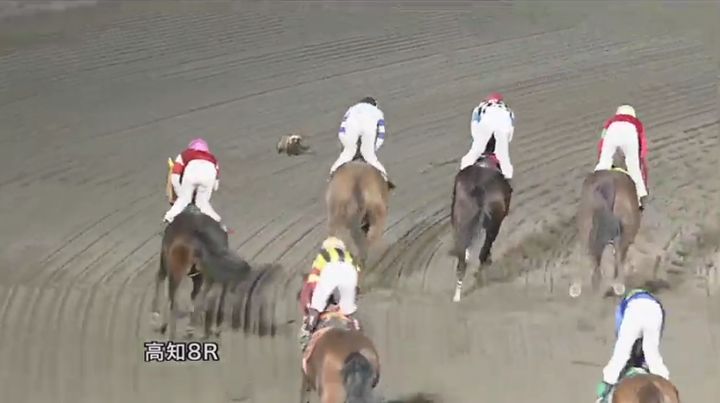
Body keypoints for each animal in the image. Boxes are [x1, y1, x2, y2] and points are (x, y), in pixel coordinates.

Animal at [150, 211, 252, 340]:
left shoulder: (165, 264)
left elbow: (160, 279)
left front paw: (157, 318)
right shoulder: (200, 276)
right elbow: (195, 295)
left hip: (177, 271)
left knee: (174, 301)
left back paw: (171, 332)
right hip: (208, 275)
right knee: (205, 296)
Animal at [450, 154, 512, 304]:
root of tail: (478, 188)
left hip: (460, 222)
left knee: (461, 263)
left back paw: (457, 296)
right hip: (493, 224)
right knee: (482, 253)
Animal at [572, 169, 644, 298]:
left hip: (585, 228)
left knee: (586, 255)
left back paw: (579, 287)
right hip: (625, 233)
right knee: (619, 256)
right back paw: (618, 285)